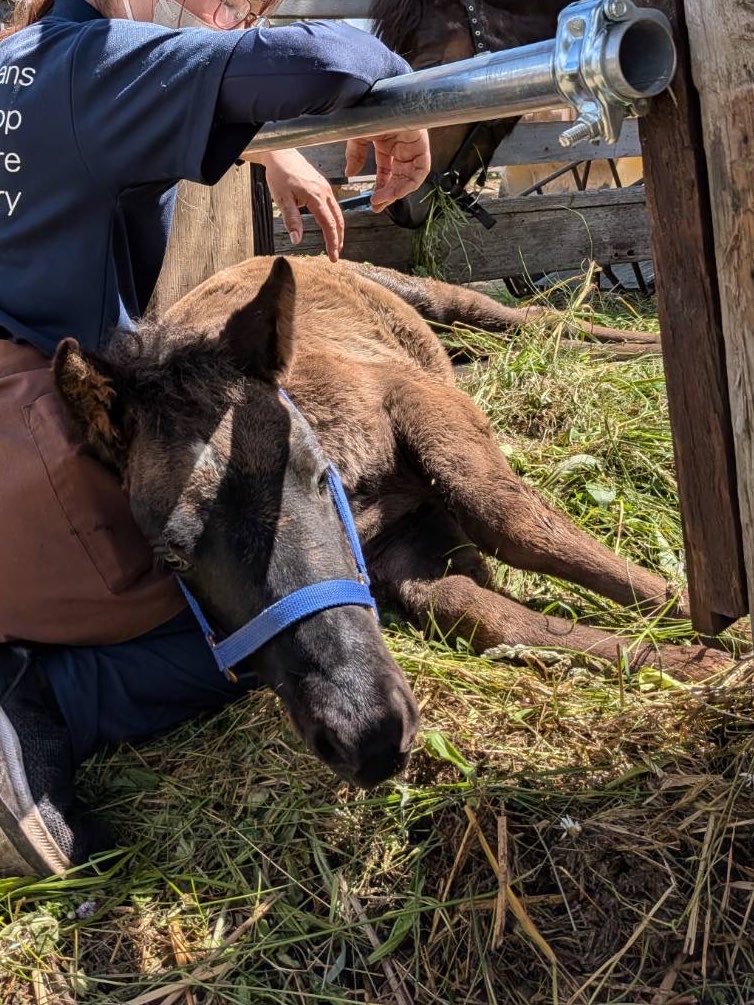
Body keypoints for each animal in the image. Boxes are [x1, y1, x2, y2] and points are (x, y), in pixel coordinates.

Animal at [55, 257, 729, 694]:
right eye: (171, 557)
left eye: (313, 476)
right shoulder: (397, 553)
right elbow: (485, 615)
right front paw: (694, 661)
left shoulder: (412, 396)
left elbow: (512, 519)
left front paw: (703, 617)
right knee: (519, 343)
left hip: (427, 296)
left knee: (529, 318)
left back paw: (646, 339)